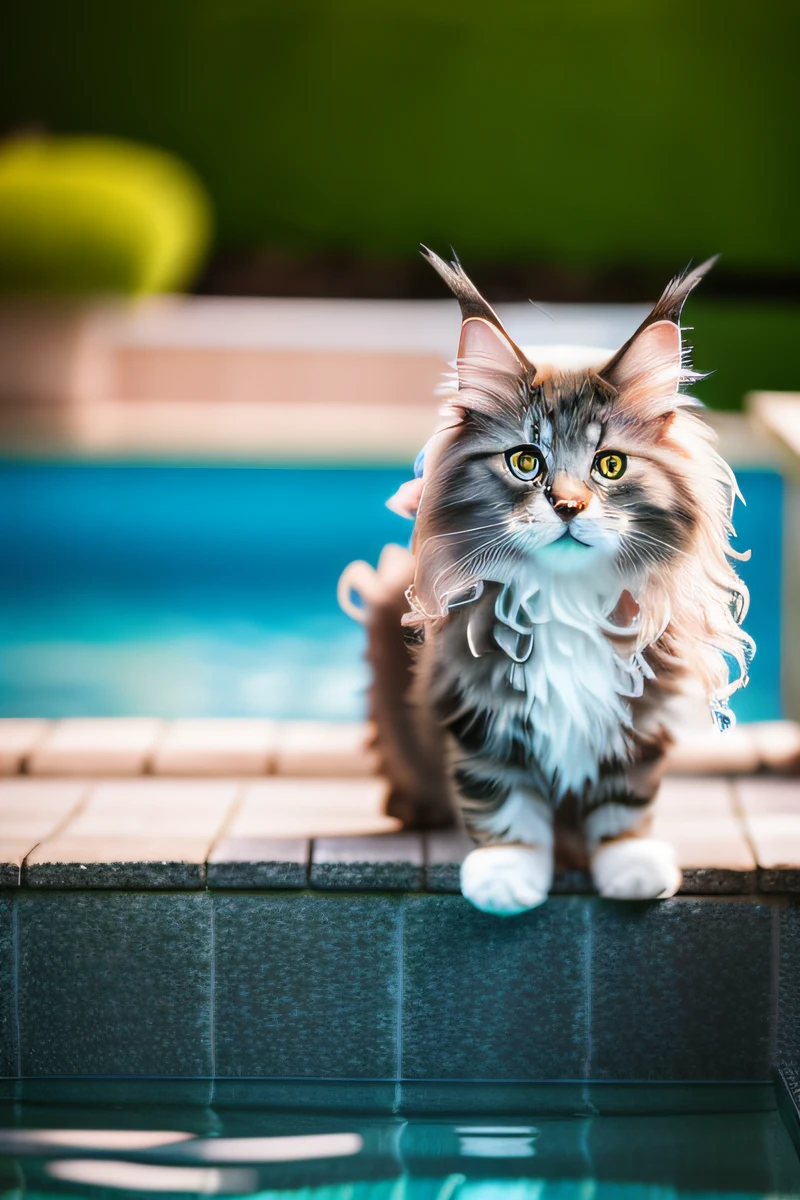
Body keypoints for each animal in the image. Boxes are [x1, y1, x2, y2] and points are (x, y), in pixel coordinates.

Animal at [338, 248, 753, 912]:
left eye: (610, 465)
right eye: (525, 461)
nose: (567, 506)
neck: (567, 601)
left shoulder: (642, 701)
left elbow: (626, 797)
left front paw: (630, 865)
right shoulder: (474, 699)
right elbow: (499, 794)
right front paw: (506, 875)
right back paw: (416, 809)